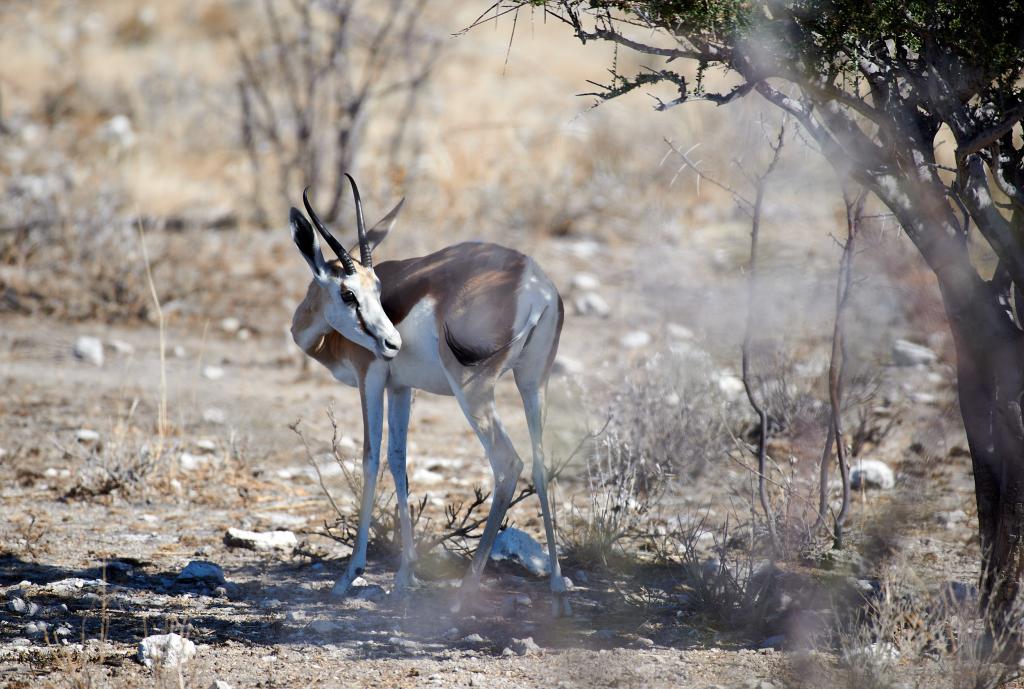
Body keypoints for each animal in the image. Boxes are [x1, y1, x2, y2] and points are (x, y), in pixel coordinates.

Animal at [290, 173, 569, 614]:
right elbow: (399, 460)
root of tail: (533, 282)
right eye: (350, 292)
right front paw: (405, 575)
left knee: (508, 463)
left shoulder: (372, 377)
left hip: (473, 390)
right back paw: (558, 585)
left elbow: (371, 458)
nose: (392, 342)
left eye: (375, 291)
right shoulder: (401, 388)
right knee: (541, 463)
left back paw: (465, 593)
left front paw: (349, 576)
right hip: (532, 382)